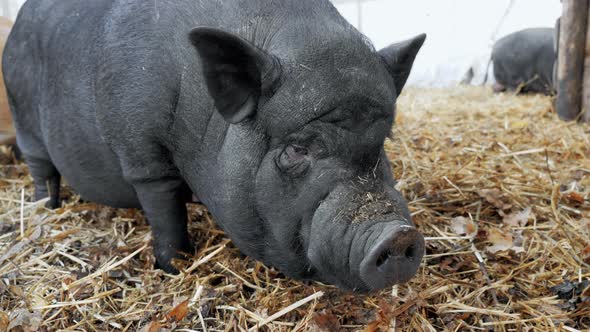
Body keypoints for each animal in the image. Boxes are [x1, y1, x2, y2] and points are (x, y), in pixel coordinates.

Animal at [5, 0, 430, 290]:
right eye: (296, 149)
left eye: (383, 140)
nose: (397, 234)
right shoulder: (145, 157)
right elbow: (166, 214)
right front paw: (175, 266)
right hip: (25, 122)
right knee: (42, 170)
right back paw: (46, 210)